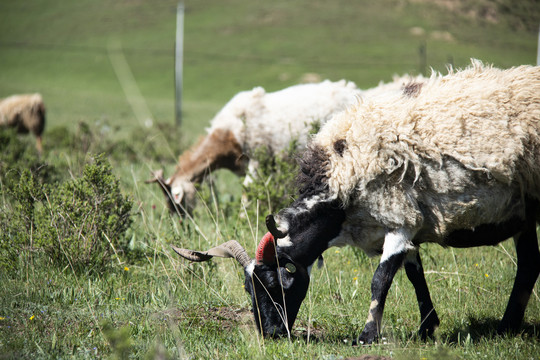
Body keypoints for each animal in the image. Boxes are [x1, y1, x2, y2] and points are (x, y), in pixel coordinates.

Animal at [172, 61, 540, 344]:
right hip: (524, 212)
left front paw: (367, 336)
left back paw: (507, 326)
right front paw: (427, 328)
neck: (339, 201)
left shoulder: (399, 218)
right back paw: (507, 327)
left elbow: (381, 279)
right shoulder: (405, 224)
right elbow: (414, 274)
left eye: (276, 284)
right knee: (529, 264)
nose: (272, 334)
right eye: (249, 289)